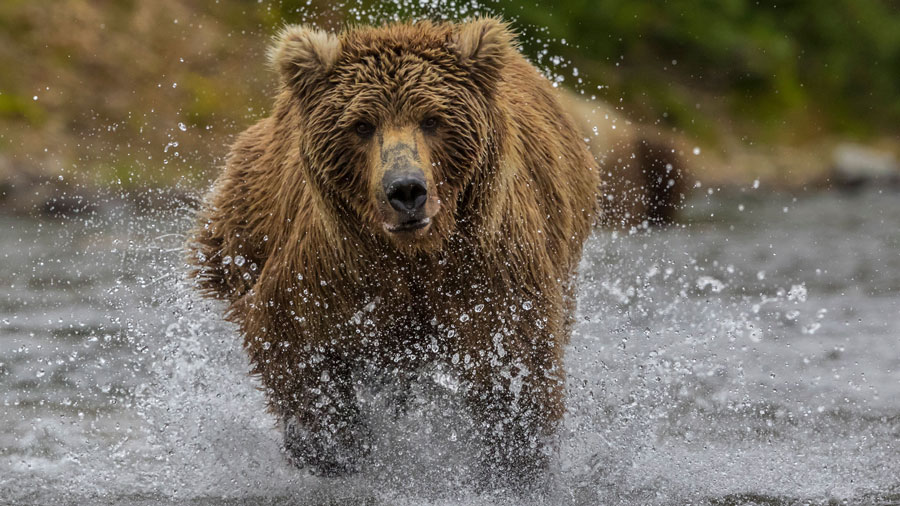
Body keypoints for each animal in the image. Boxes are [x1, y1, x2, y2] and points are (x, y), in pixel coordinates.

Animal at [187, 17, 600, 484]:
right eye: (362, 125)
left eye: (433, 119)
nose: (406, 190)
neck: (416, 253)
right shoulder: (333, 272)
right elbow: (299, 348)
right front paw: (334, 450)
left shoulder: (488, 264)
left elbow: (514, 364)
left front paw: (514, 462)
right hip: (243, 226)